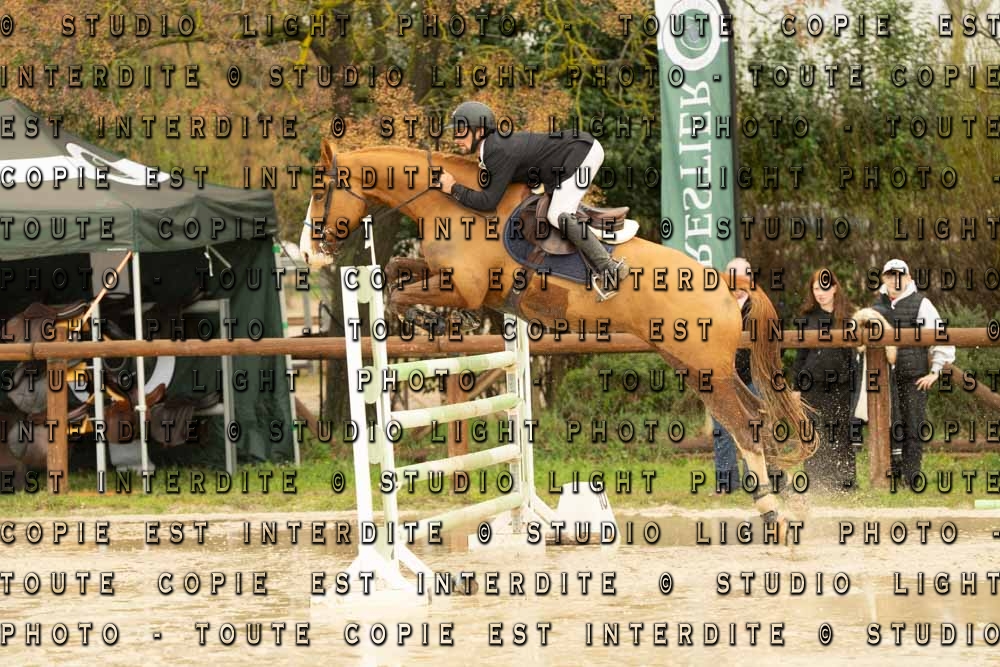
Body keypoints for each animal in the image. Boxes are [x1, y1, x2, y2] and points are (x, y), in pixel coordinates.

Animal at [300, 139, 816, 536]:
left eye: (321, 187)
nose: (308, 253)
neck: (451, 203)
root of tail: (728, 283)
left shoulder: (466, 287)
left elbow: (402, 295)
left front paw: (433, 327)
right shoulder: (443, 274)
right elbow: (394, 271)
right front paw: (431, 322)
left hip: (705, 367)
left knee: (746, 425)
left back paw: (775, 518)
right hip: (695, 367)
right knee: (754, 416)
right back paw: (784, 507)